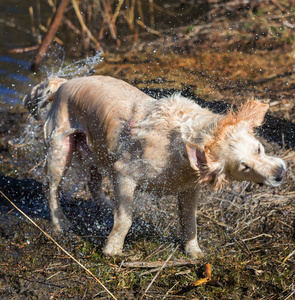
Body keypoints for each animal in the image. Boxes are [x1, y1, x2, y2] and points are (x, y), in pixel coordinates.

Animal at [24, 75, 288, 258]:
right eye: (244, 167)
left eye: (259, 149)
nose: (280, 173)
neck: (180, 143)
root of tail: (64, 83)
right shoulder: (125, 173)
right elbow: (125, 219)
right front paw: (112, 249)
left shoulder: (190, 189)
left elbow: (189, 222)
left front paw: (194, 252)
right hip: (60, 150)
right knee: (51, 188)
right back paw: (61, 223)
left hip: (98, 149)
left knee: (93, 183)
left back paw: (106, 205)